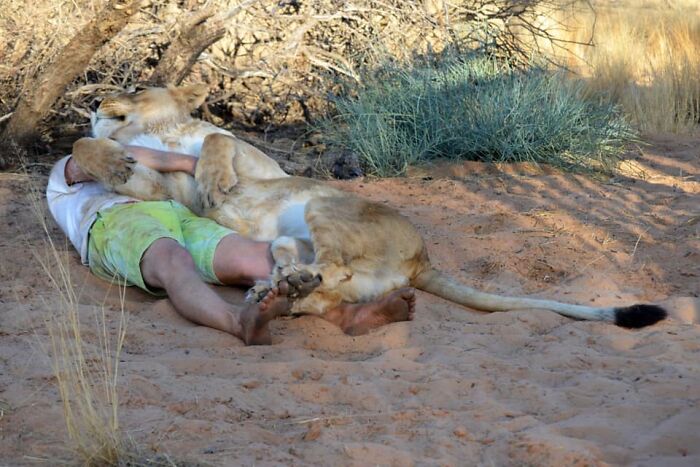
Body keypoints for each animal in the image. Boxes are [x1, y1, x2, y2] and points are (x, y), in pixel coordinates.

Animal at [71, 83, 667, 329]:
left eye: (136, 86)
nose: (96, 101)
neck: (160, 132)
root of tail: (424, 259)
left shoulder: (252, 163)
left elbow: (216, 140)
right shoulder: (172, 192)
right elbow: (90, 150)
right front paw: (108, 160)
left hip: (324, 208)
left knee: (331, 268)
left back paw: (283, 290)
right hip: (295, 242)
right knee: (326, 288)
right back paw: (279, 294)